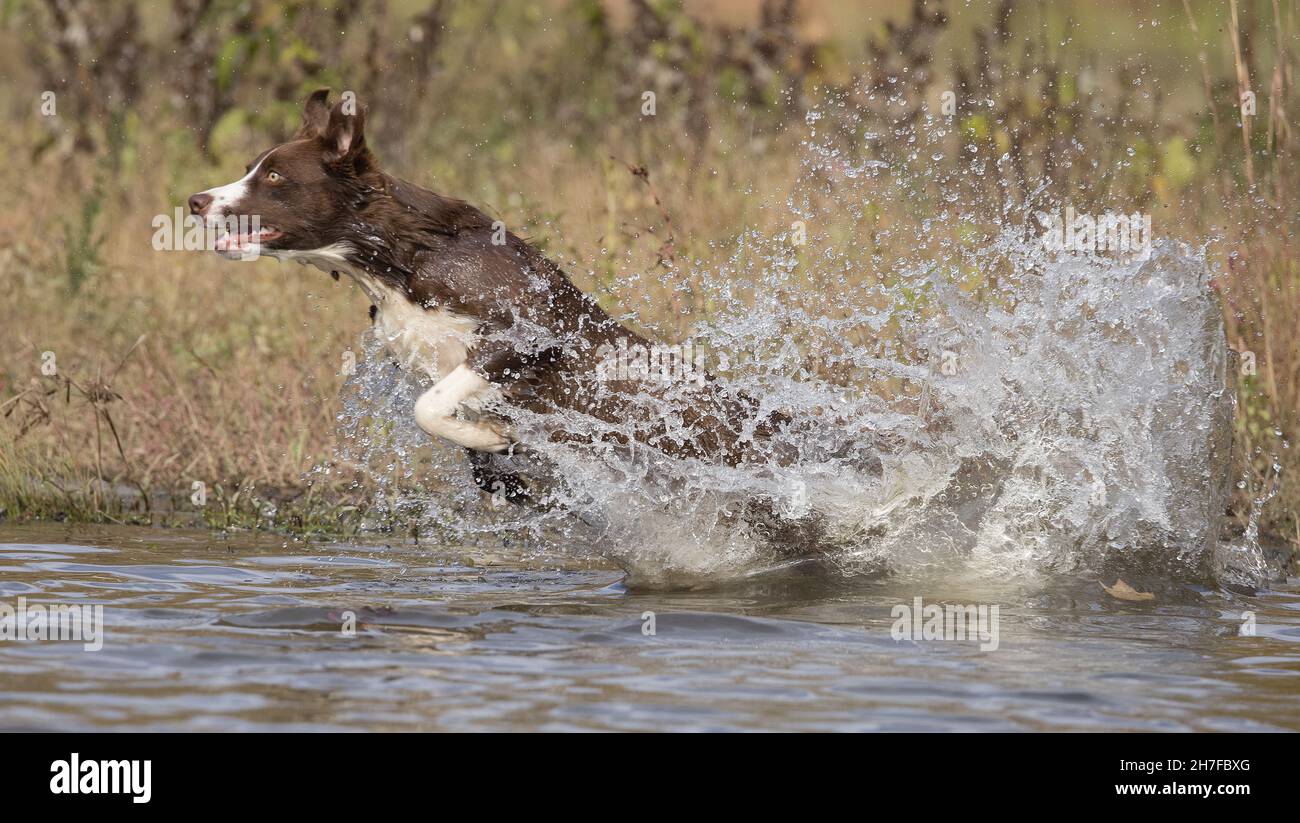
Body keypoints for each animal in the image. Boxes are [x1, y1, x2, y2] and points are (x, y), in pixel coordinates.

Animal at [185, 89, 790, 501]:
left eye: (275, 178)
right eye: (249, 169)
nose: (195, 200)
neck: (400, 258)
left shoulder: (525, 331)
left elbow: (430, 406)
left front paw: (494, 438)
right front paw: (497, 454)